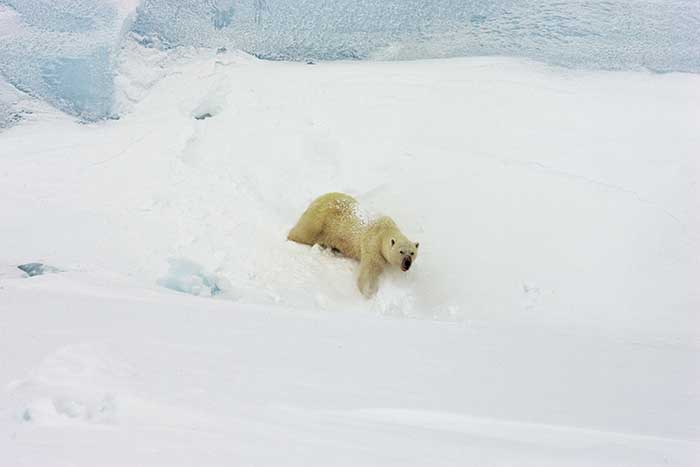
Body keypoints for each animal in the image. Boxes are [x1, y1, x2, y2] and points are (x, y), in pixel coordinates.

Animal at [286, 193, 418, 296]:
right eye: (401, 251)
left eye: (412, 253)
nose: (407, 263)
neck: (385, 230)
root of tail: (318, 199)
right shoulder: (373, 245)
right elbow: (369, 270)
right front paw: (368, 292)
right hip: (319, 220)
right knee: (303, 233)